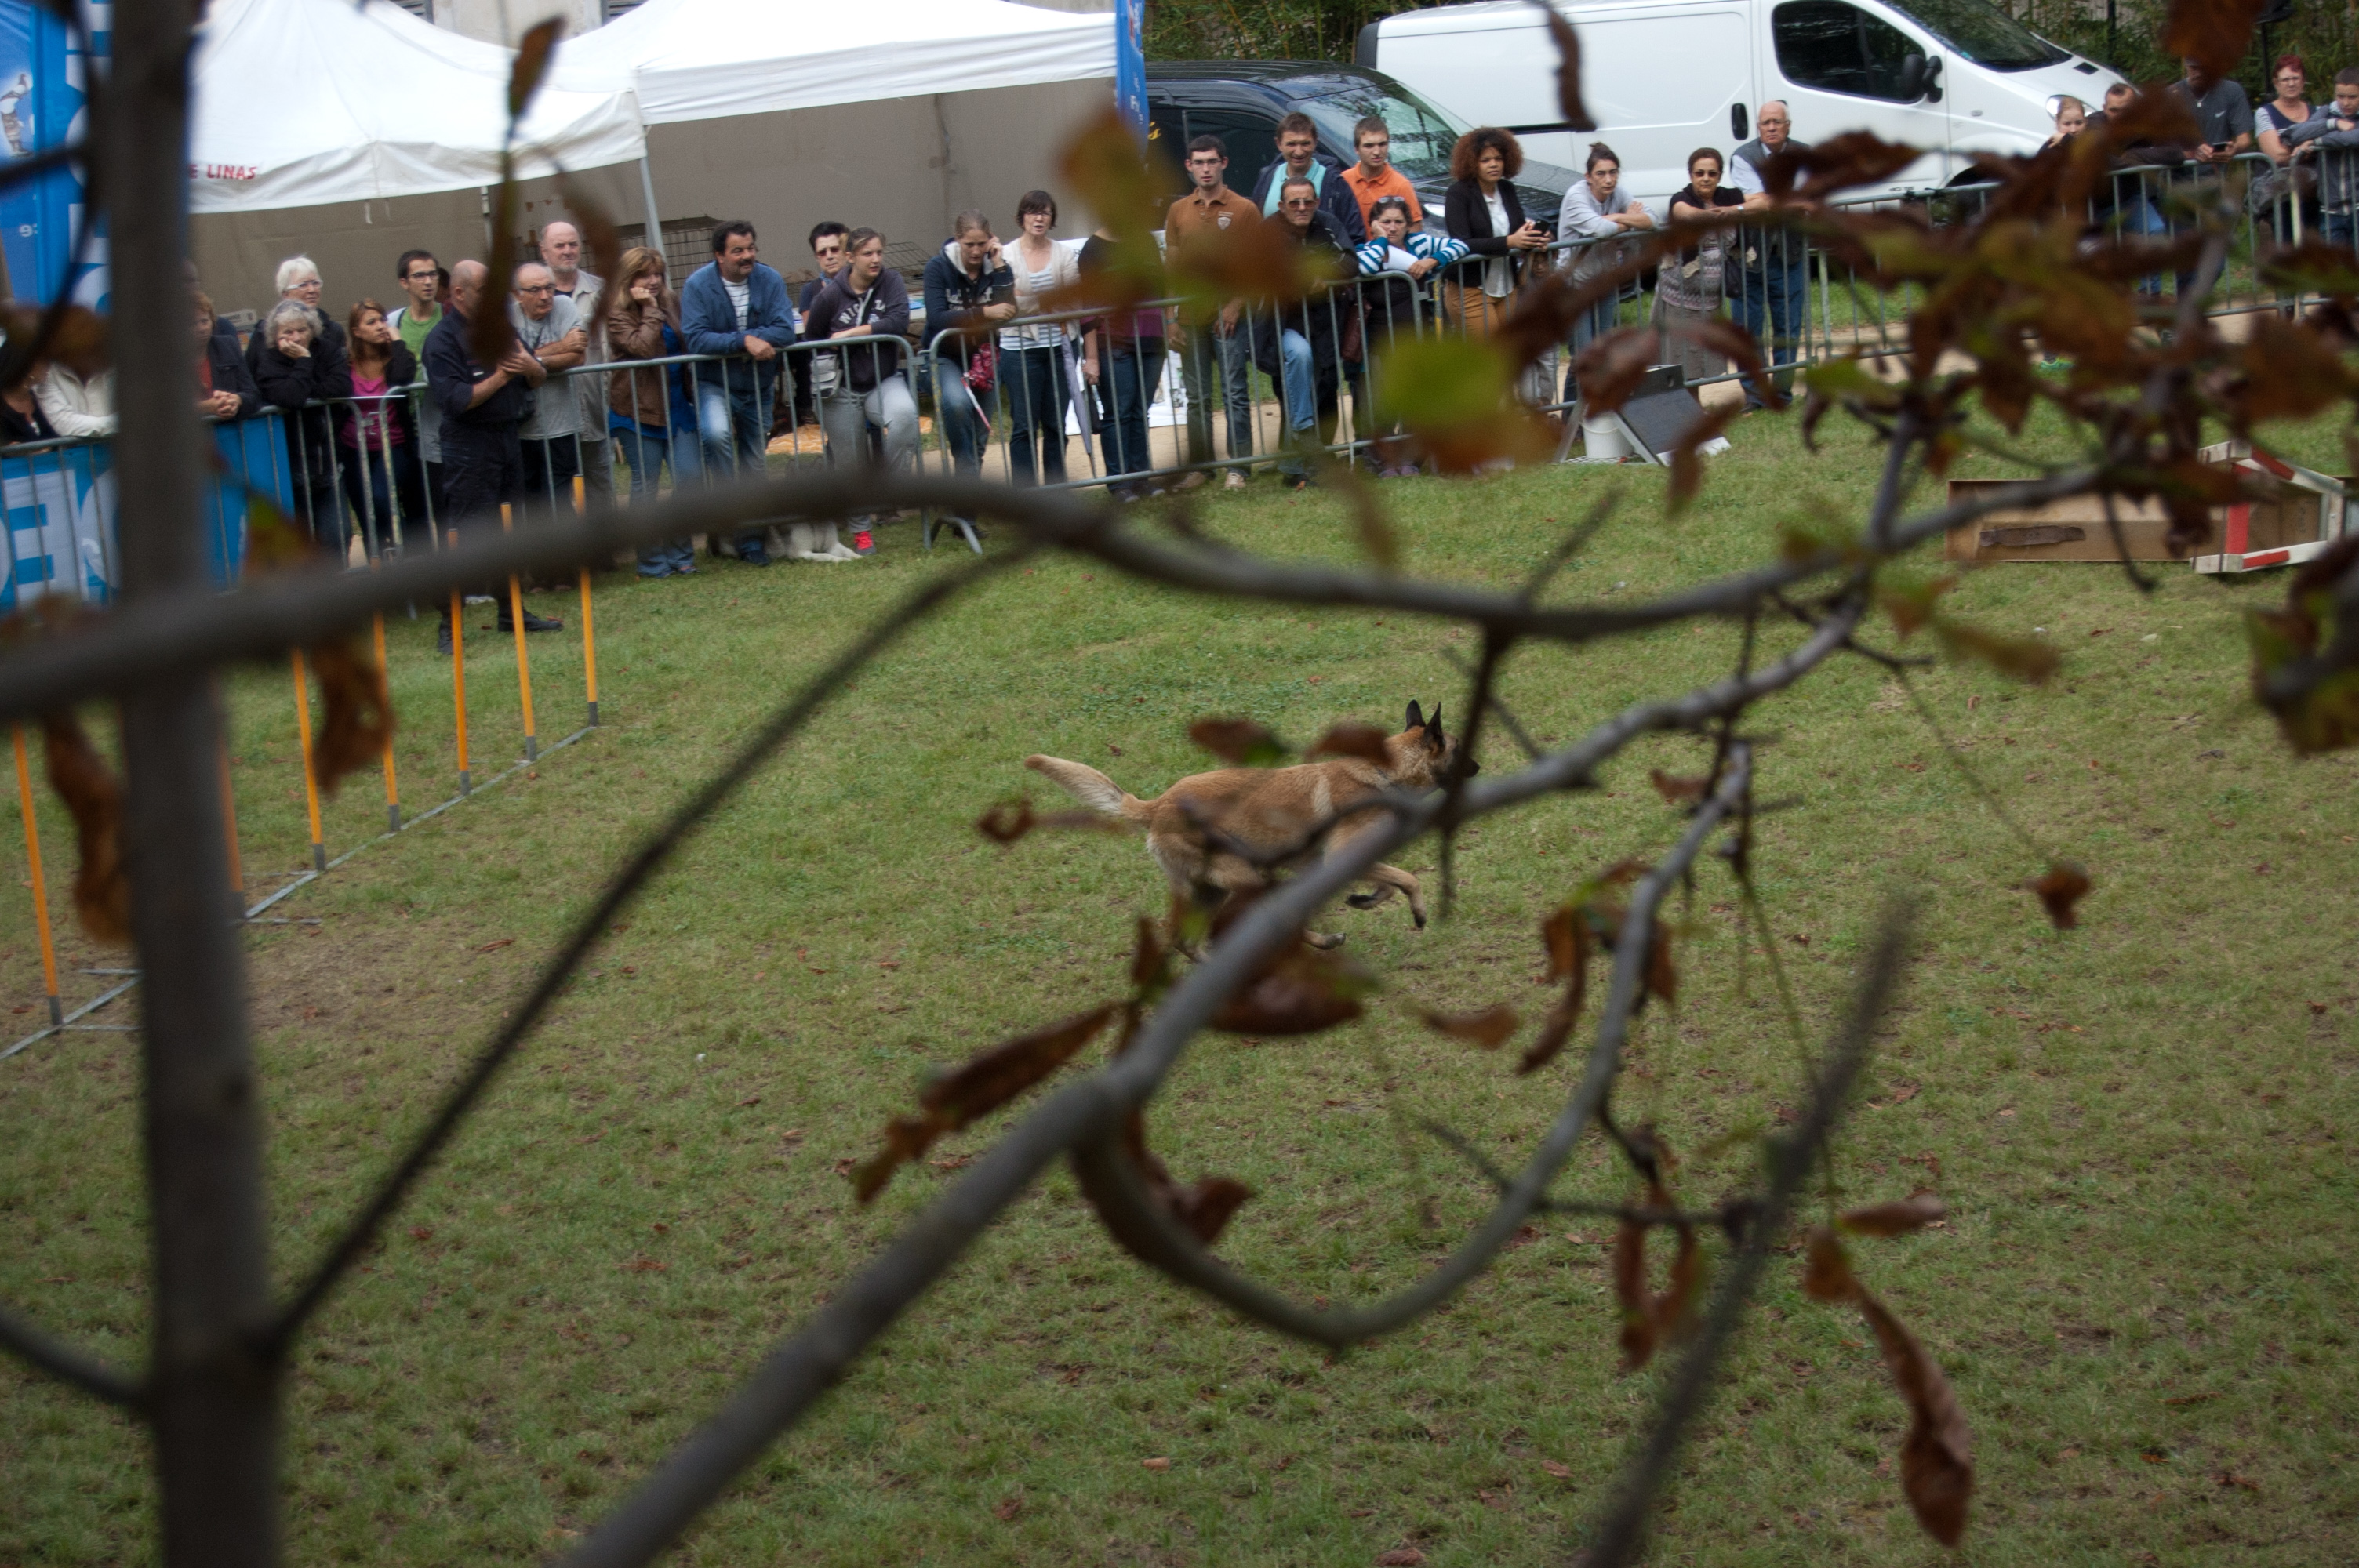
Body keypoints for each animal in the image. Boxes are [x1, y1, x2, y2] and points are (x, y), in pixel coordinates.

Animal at [1026, 701, 1474, 949]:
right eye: (1459, 750)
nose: (1479, 767)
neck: (1386, 773)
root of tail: (1158, 806)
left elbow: (1389, 883)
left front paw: (1365, 899)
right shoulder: (1341, 855)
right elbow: (1409, 879)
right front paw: (1418, 913)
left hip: (1212, 892)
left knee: (1186, 940)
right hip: (1250, 881)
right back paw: (1324, 943)